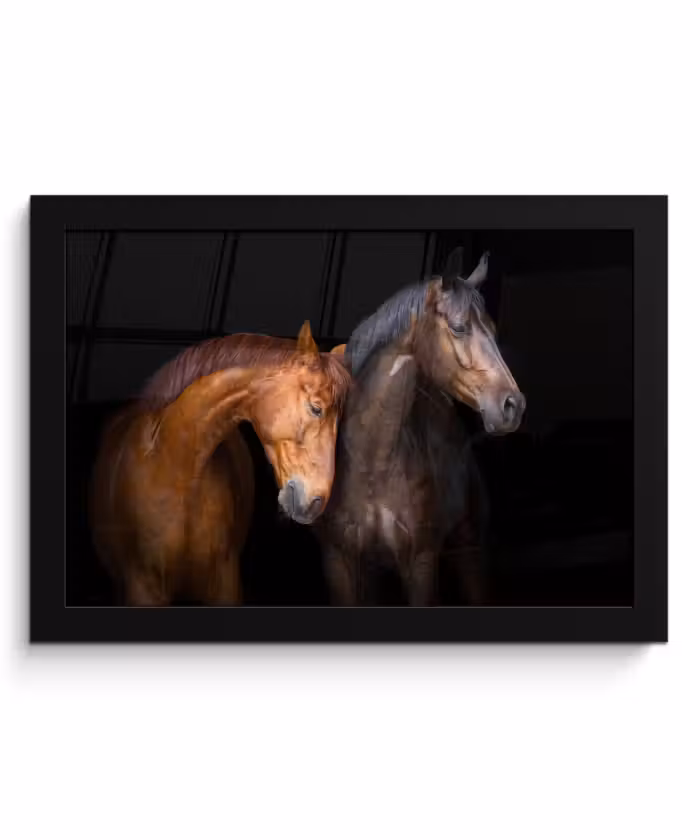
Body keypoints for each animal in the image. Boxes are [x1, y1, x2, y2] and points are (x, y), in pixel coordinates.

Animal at [318, 250, 526, 605]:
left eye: (493, 330)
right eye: (458, 327)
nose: (513, 406)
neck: (372, 461)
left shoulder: (421, 562)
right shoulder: (340, 561)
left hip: (469, 550)